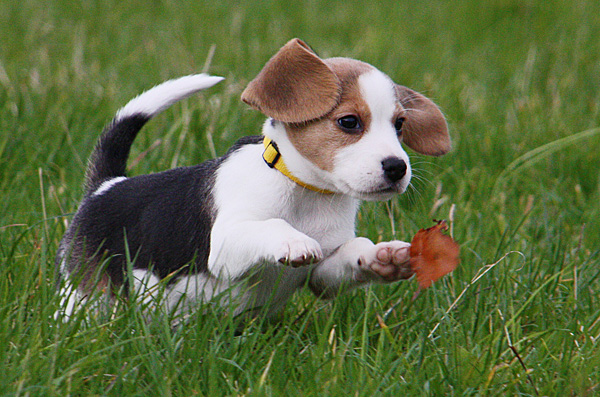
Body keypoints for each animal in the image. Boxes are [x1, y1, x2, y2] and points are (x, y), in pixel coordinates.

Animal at [57, 39, 450, 318]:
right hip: (84, 296)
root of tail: (106, 185)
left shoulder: (322, 272)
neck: (307, 191)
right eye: (349, 122)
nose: (397, 168)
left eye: (400, 125)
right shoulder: (226, 243)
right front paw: (293, 240)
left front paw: (385, 256)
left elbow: (349, 256)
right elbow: (271, 225)